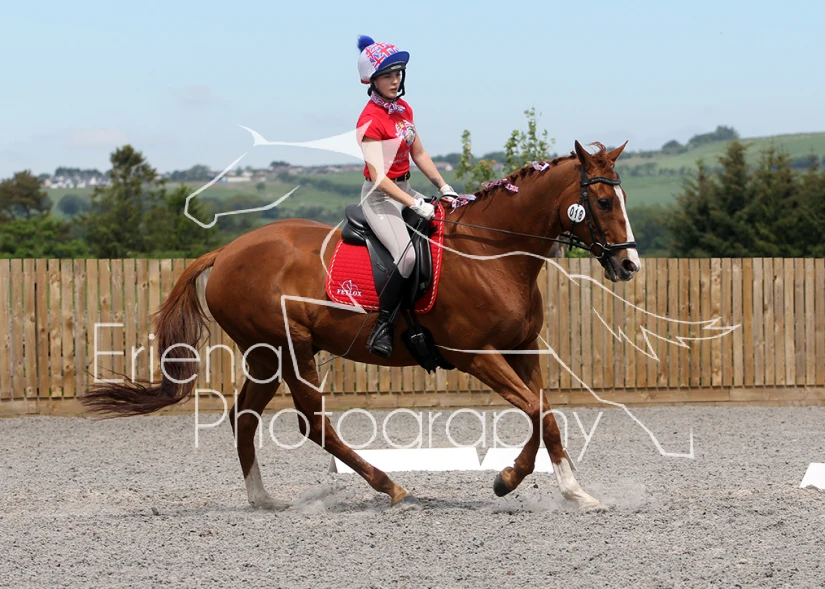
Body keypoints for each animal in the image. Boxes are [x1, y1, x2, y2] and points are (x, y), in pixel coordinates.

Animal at [81, 140, 641, 511]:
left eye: (622, 199)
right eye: (603, 202)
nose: (629, 264)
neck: (491, 253)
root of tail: (227, 251)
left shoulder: (524, 349)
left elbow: (545, 413)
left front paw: (570, 490)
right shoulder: (476, 356)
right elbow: (536, 411)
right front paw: (509, 480)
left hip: (266, 354)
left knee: (246, 415)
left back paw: (263, 499)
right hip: (288, 348)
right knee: (311, 422)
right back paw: (388, 486)